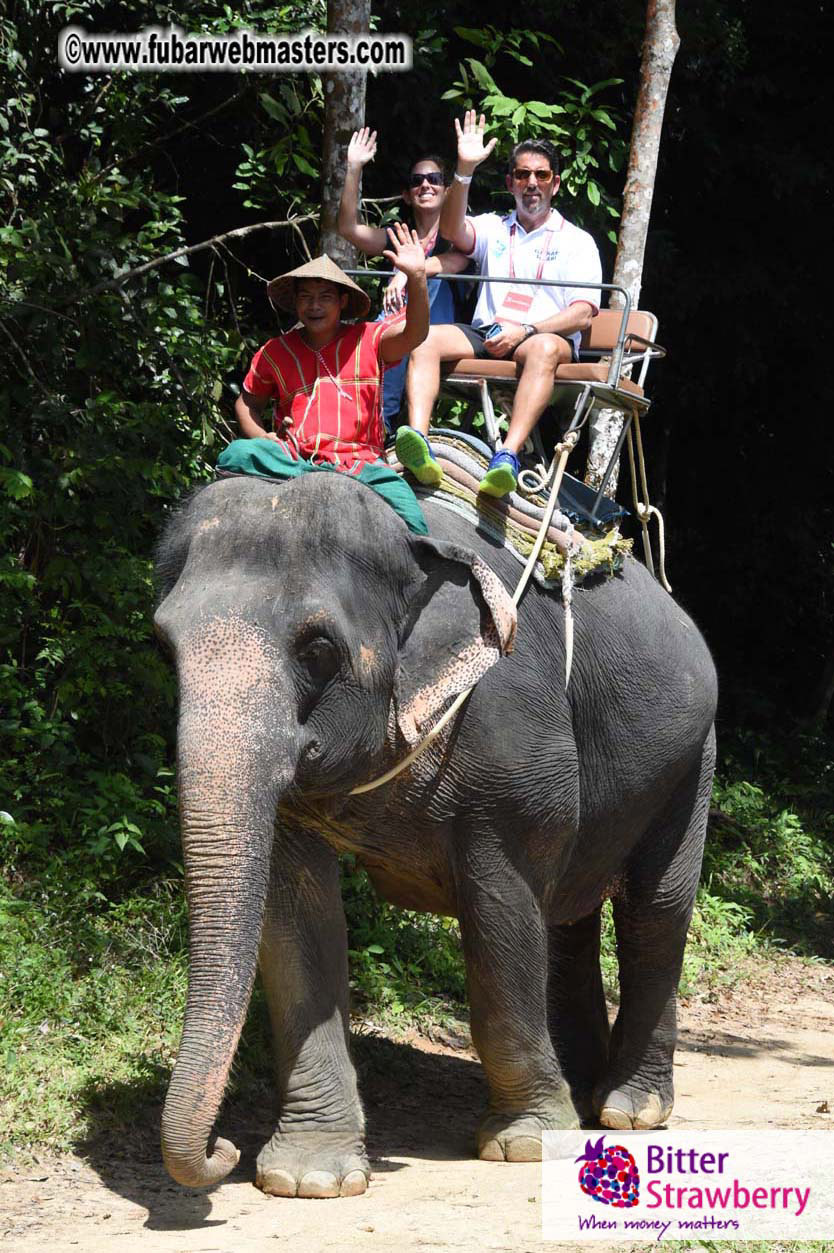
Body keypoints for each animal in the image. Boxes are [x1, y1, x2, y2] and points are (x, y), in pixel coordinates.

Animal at [153, 468, 717, 1197]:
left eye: (318, 649)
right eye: (165, 646)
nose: (220, 1148)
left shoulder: (511, 743)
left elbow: (501, 914)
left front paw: (526, 1142)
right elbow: (300, 920)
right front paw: (308, 1179)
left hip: (692, 758)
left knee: (655, 910)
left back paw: (628, 1109)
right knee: (569, 915)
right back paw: (584, 1093)